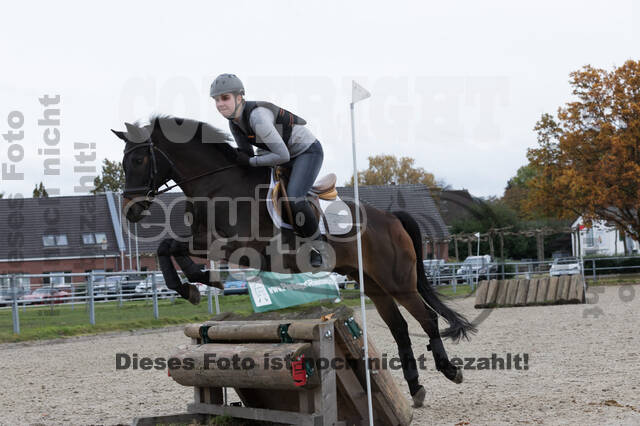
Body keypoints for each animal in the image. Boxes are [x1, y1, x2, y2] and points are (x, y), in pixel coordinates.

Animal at [112, 115, 478, 408]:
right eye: (124, 163)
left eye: (140, 159)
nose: (131, 210)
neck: (217, 185)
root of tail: (390, 218)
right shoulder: (203, 239)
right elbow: (167, 247)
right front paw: (191, 284)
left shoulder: (238, 245)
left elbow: (175, 248)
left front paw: (197, 280)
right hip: (373, 284)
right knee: (400, 328)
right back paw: (415, 388)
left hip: (397, 281)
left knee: (427, 319)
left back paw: (449, 371)